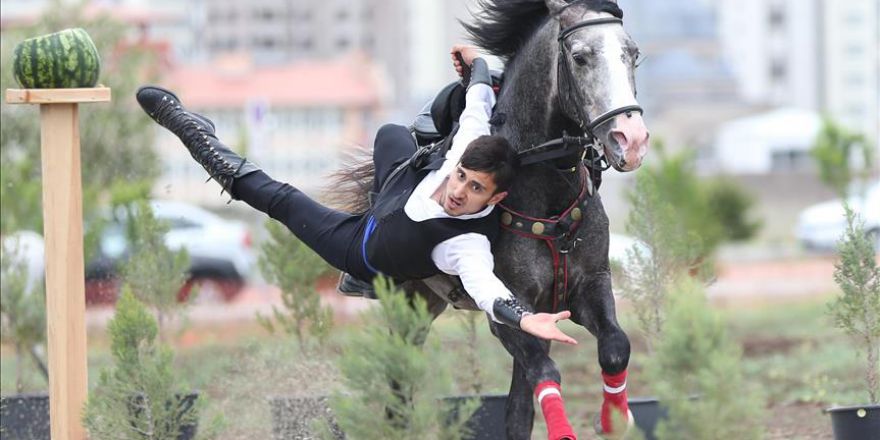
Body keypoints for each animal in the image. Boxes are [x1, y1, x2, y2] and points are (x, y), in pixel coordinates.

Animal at [330, 1, 648, 438]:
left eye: (633, 54)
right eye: (580, 57)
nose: (631, 141)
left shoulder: (584, 290)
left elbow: (615, 348)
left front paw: (614, 418)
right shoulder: (511, 312)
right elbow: (544, 371)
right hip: (406, 303)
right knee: (399, 381)